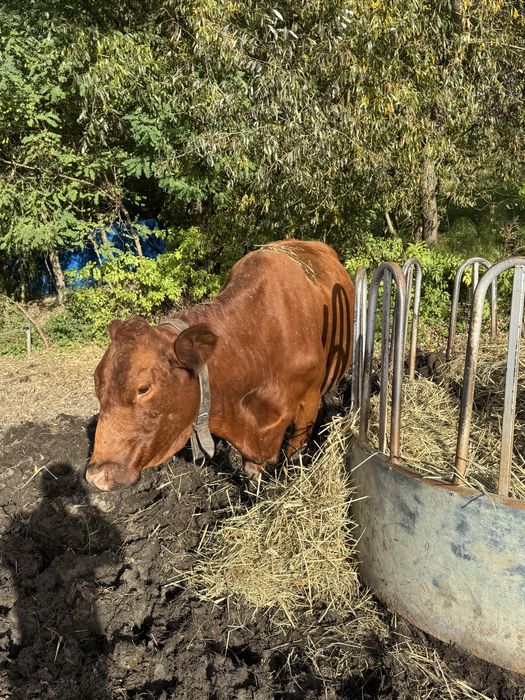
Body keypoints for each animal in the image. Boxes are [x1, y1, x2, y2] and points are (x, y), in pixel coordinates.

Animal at [85, 240, 354, 491]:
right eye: (97, 382)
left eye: (143, 388)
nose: (98, 476)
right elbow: (251, 470)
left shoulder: (308, 402)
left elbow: (293, 456)